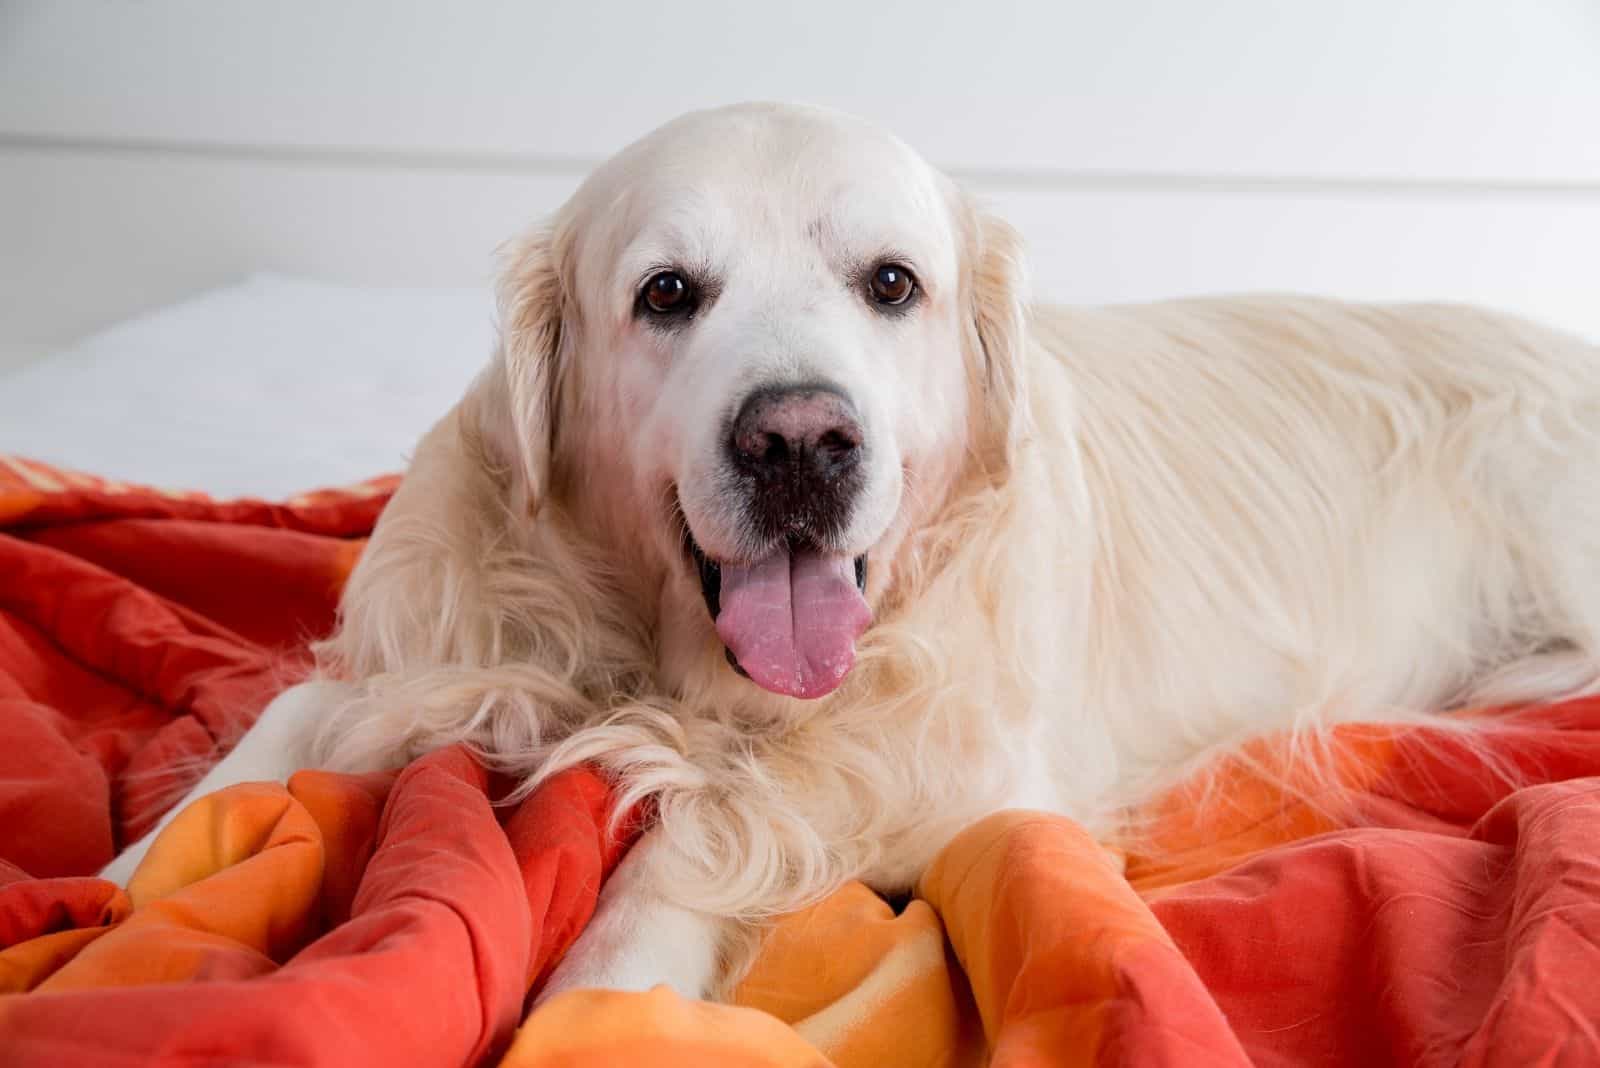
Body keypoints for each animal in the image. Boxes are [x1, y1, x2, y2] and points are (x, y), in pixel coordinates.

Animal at [100, 99, 1600, 1004]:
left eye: (892, 284)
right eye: (666, 294)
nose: (800, 441)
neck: (662, 656)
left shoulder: (971, 788)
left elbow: (698, 837)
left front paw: (599, 999)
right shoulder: (439, 654)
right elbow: (284, 725)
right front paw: (110, 895)